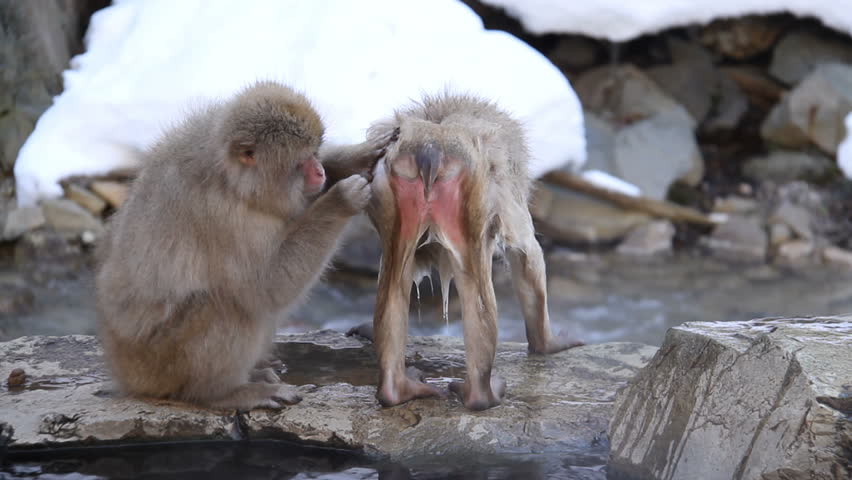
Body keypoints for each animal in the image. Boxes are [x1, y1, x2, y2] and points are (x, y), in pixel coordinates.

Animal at [95, 81, 386, 410]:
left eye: (316, 151)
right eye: (302, 162)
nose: (320, 171)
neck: (235, 183)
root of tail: (125, 373)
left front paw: (355, 157)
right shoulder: (223, 217)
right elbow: (267, 286)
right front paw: (341, 199)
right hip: (161, 364)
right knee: (229, 306)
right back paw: (223, 393)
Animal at [357, 93, 583, 411]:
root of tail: (431, 149)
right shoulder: (502, 191)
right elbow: (527, 256)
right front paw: (548, 345)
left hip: (393, 194)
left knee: (394, 282)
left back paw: (395, 390)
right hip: (473, 197)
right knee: (476, 287)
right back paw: (482, 395)